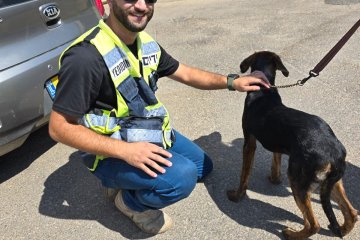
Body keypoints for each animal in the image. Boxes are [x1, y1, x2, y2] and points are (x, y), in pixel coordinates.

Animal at [228, 51, 358, 239]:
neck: (263, 90)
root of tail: (335, 153)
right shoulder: (278, 144)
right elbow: (275, 162)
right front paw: (274, 179)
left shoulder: (249, 142)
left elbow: (244, 175)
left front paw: (237, 196)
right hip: (331, 182)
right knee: (352, 213)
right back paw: (342, 229)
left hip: (299, 180)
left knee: (314, 224)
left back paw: (292, 233)